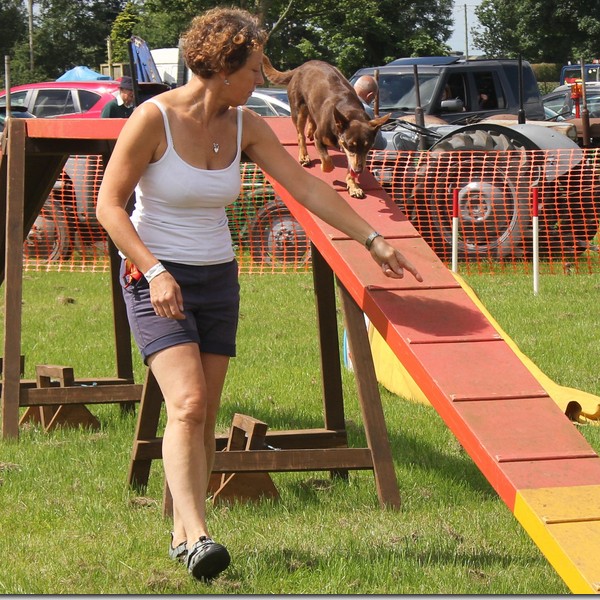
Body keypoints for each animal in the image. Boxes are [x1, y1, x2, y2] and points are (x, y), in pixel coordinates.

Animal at [262, 55, 390, 198]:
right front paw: (325, 167)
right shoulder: (321, 138)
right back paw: (304, 156)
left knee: (312, 118)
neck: (351, 112)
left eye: (368, 147)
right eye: (351, 145)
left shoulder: (351, 155)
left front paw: (353, 186)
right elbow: (327, 161)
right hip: (298, 109)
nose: (358, 170)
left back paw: (310, 130)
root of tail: (302, 66)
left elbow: (349, 167)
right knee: (300, 134)